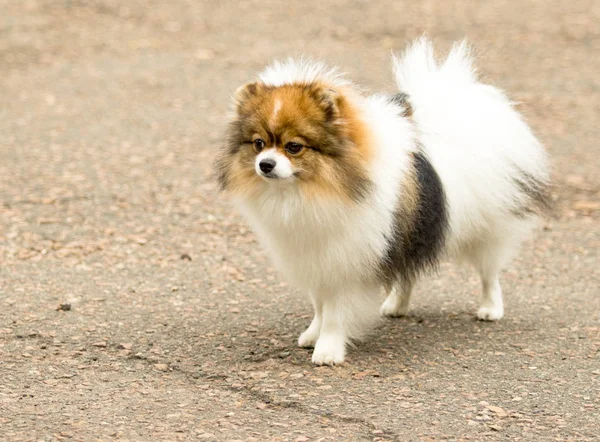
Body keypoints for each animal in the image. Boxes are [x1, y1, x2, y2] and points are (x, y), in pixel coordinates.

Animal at [218, 38, 552, 364]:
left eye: (293, 146)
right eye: (259, 143)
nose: (265, 164)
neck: (313, 191)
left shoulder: (348, 258)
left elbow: (335, 311)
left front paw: (328, 350)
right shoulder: (315, 254)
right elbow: (319, 305)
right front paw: (312, 334)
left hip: (488, 229)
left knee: (489, 273)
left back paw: (490, 309)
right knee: (408, 271)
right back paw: (397, 305)